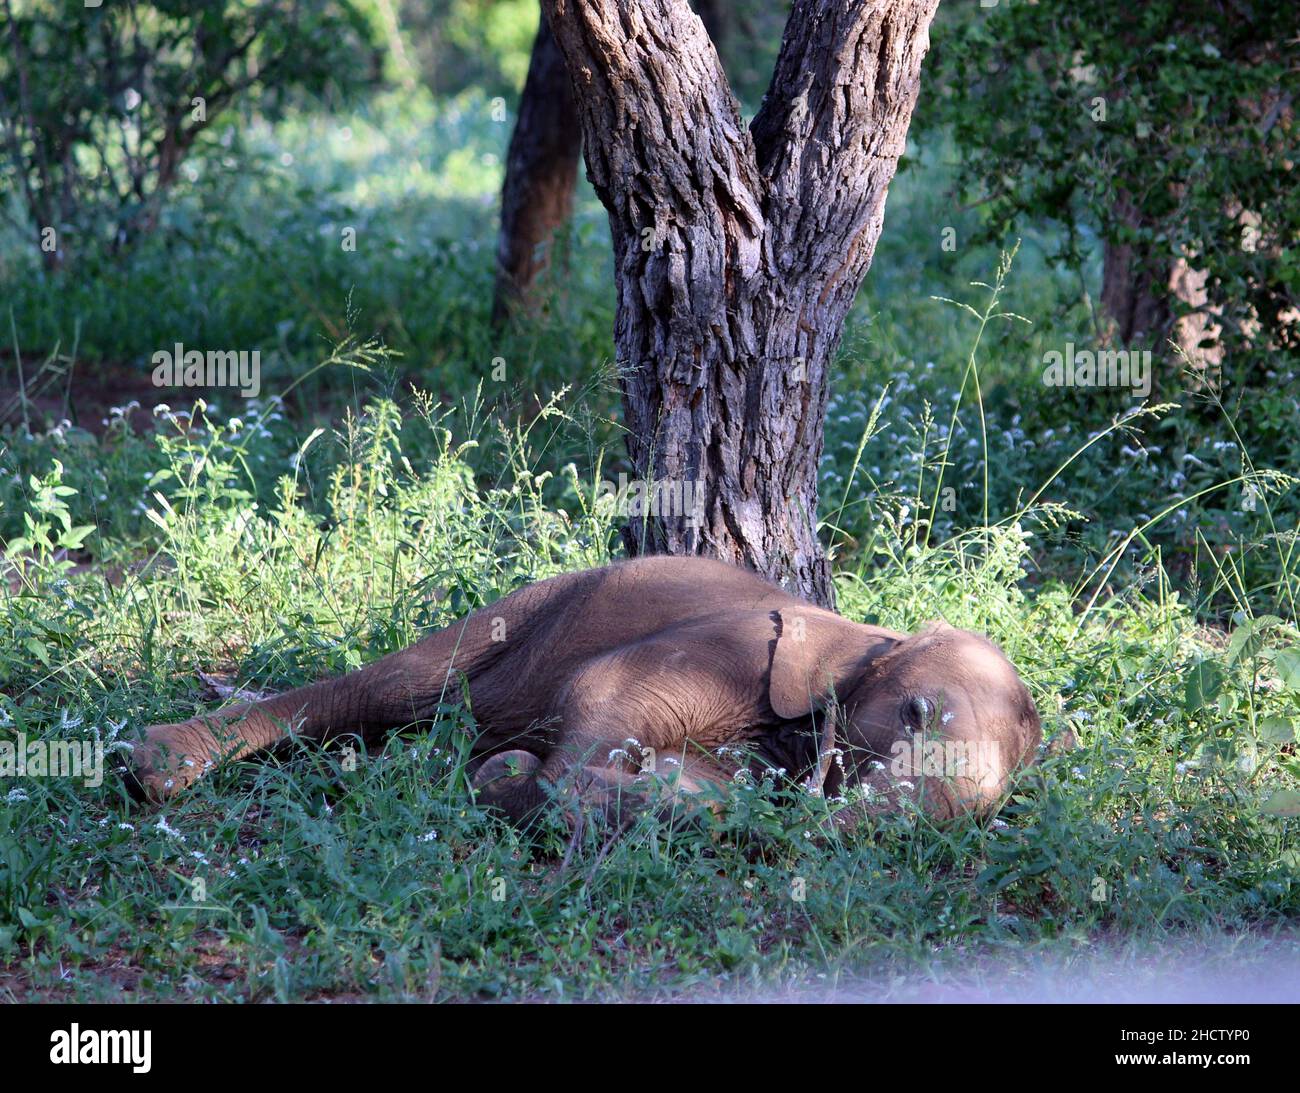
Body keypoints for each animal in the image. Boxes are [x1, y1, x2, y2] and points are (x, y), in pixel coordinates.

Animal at [129, 558, 1045, 821]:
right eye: (915, 711)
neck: (877, 633)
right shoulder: (734, 646)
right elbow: (601, 689)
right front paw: (513, 779)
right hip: (530, 607)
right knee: (394, 686)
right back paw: (159, 767)